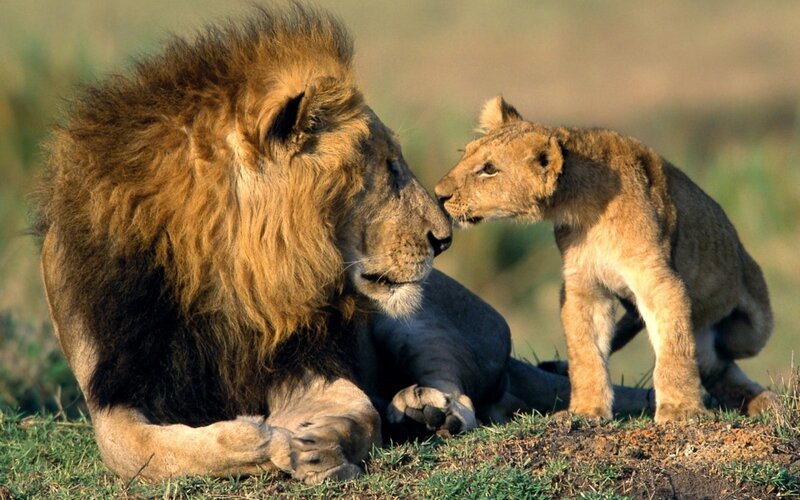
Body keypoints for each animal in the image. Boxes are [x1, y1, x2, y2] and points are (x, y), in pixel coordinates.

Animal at [35, 9, 655, 483]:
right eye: (388, 167)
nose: (444, 239)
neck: (226, 278)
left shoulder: (308, 360)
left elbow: (357, 411)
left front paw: (317, 443)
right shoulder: (112, 386)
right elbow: (131, 449)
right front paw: (255, 442)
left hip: (418, 314)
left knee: (466, 391)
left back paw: (424, 411)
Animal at [435, 96, 778, 424]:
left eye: (489, 169)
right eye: (465, 154)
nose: (438, 195)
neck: (583, 207)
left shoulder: (659, 280)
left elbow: (674, 348)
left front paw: (680, 409)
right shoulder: (584, 287)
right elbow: (586, 353)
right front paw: (587, 410)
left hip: (752, 329)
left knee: (720, 356)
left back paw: (765, 400)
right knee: (714, 366)